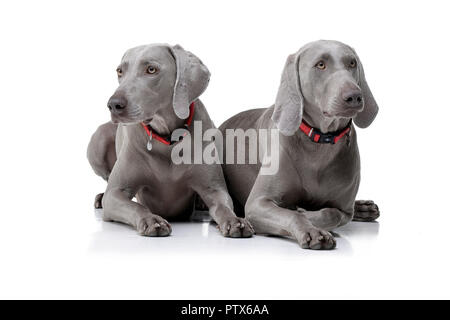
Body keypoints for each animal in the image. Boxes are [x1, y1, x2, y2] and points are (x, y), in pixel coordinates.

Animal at [87, 43, 253, 238]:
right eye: (120, 71)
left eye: (151, 69)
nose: (113, 105)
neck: (167, 138)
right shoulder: (115, 194)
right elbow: (135, 206)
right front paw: (152, 220)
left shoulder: (215, 189)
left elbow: (223, 206)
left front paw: (235, 221)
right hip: (98, 140)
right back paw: (99, 196)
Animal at [221, 40, 380, 250]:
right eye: (320, 64)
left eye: (352, 63)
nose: (354, 96)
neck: (320, 142)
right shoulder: (257, 203)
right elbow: (293, 215)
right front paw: (312, 231)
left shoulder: (345, 210)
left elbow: (332, 213)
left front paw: (308, 214)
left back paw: (364, 207)